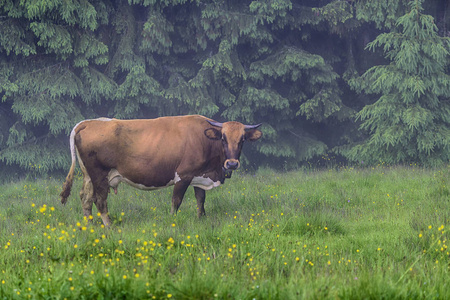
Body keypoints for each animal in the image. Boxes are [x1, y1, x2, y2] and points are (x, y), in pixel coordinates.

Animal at [61, 115, 262, 225]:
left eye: (242, 139)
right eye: (223, 138)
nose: (232, 164)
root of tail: (89, 122)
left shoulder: (199, 176)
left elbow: (200, 200)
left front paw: (201, 219)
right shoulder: (183, 176)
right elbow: (176, 201)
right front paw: (173, 221)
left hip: (88, 176)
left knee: (85, 198)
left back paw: (89, 225)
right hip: (99, 174)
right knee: (100, 200)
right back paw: (109, 227)